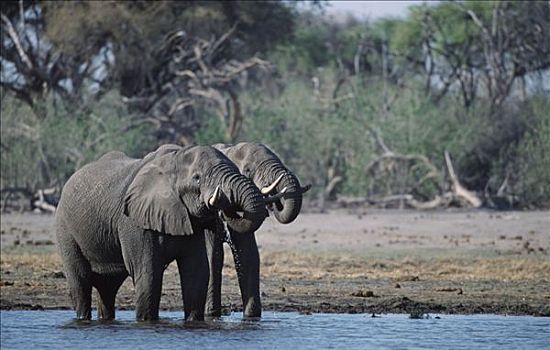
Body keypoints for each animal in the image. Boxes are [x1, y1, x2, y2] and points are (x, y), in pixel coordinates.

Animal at [55, 144, 272, 322]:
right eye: (197, 178)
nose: (221, 202)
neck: (174, 160)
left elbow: (197, 273)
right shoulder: (134, 221)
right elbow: (148, 274)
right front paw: (147, 322)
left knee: (108, 288)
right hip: (65, 229)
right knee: (81, 283)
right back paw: (82, 318)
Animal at [208, 142, 312, 318]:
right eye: (248, 170)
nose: (274, 199)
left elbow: (249, 255)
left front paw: (252, 316)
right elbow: (213, 256)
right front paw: (212, 315)